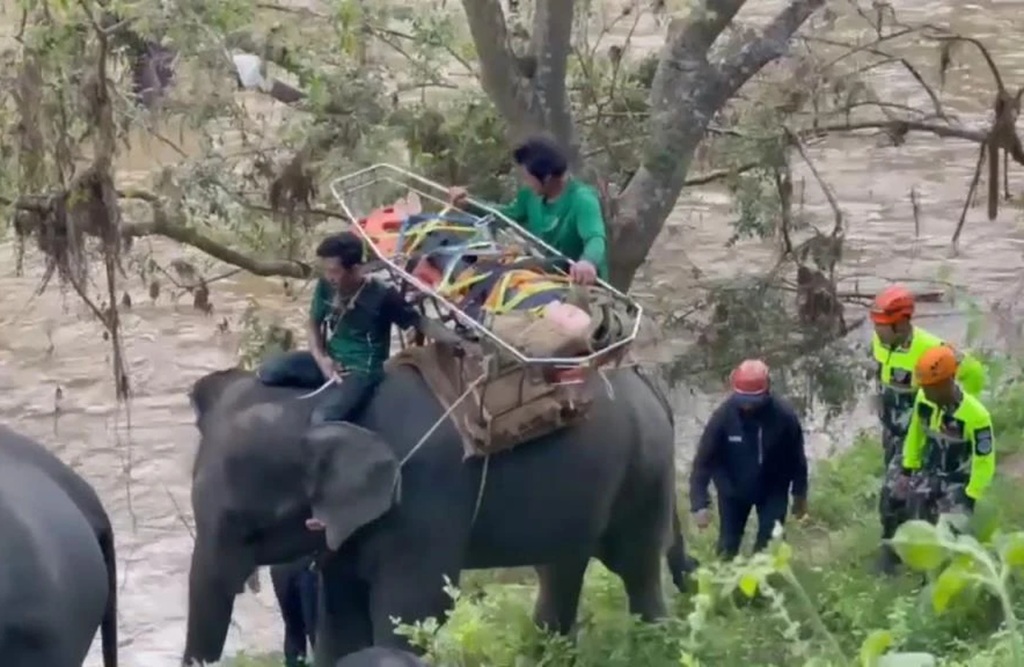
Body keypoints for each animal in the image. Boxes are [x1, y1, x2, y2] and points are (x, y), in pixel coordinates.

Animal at [184, 360, 696, 667]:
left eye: (249, 525)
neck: (323, 406)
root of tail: (647, 381)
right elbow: (341, 617)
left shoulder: (424, 501)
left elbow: (412, 611)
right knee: (561, 569)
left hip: (644, 471)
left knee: (636, 568)